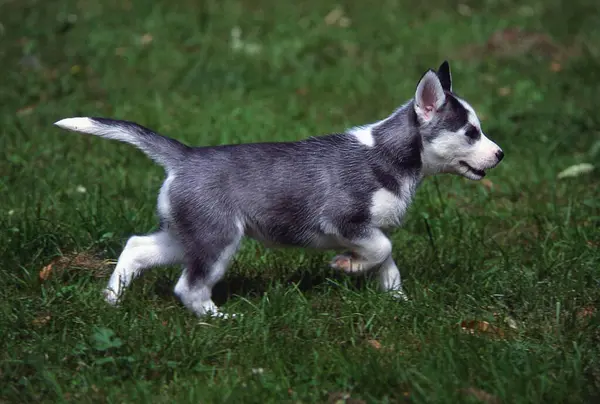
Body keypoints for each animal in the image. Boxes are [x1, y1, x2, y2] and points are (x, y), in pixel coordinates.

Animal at [55, 61, 502, 318]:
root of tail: (185, 157)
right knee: (189, 287)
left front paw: (399, 303)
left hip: (187, 236)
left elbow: (387, 263)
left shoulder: (370, 230)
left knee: (136, 247)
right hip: (218, 241)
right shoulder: (344, 221)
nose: (499, 155)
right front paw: (346, 265)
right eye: (471, 132)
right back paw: (220, 319)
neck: (390, 156)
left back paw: (111, 300)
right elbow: (382, 250)